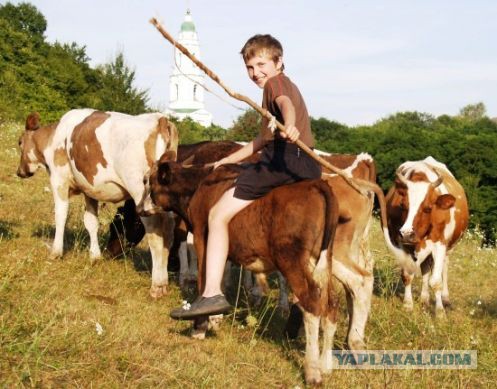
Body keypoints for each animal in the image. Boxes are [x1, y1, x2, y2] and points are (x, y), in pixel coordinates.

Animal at [17, 109, 178, 298]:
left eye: (20, 142)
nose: (19, 172)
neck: (54, 136)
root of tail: (159, 119)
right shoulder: (90, 190)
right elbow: (91, 222)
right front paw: (95, 256)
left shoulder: (58, 179)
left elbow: (61, 215)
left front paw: (56, 252)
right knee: (169, 231)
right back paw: (164, 282)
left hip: (140, 192)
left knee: (155, 232)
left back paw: (157, 285)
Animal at [139, 155, 340, 384]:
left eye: (148, 181)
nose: (139, 208)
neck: (199, 186)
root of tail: (316, 185)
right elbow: (217, 278)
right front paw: (215, 317)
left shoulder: (201, 237)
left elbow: (203, 280)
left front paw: (199, 328)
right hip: (323, 260)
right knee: (331, 303)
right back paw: (326, 365)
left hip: (292, 259)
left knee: (312, 303)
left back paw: (313, 371)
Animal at [384, 155, 468, 316]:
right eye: (403, 205)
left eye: (428, 208)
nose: (406, 233)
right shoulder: (401, 243)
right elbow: (407, 275)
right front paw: (408, 305)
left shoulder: (440, 244)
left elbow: (436, 281)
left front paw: (440, 312)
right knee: (425, 269)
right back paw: (424, 299)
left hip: (449, 248)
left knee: (444, 268)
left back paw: (445, 299)